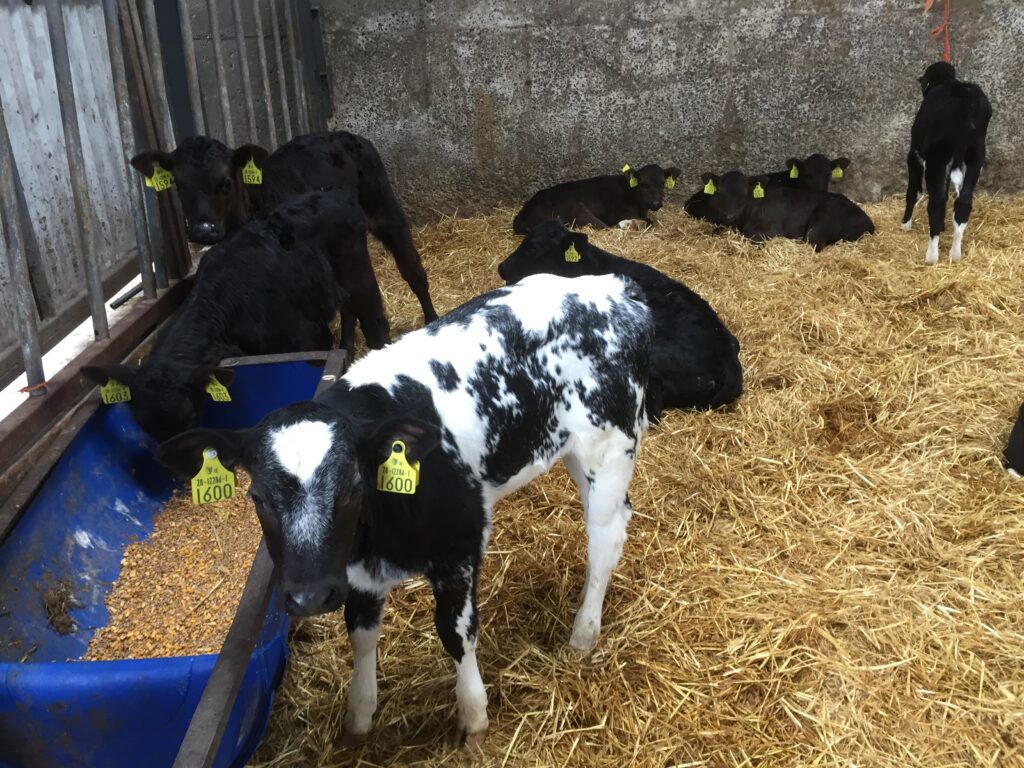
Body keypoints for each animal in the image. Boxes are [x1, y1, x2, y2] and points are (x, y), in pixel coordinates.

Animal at [130, 131, 438, 323]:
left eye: (226, 183)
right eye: (180, 187)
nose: (203, 229)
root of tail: (340, 134)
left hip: (383, 205)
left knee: (412, 268)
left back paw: (431, 318)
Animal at [155, 273, 654, 749]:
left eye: (353, 485)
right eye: (257, 498)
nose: (309, 597)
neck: (377, 537)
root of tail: (612, 289)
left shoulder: (460, 547)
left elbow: (456, 632)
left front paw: (473, 718)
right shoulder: (353, 572)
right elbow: (359, 634)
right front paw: (358, 719)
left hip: (609, 447)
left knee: (604, 538)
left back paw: (583, 633)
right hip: (575, 453)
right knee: (620, 522)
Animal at [512, 163, 682, 235]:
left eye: (662, 184)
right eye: (644, 184)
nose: (656, 203)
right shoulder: (618, 213)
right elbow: (649, 221)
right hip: (578, 210)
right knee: (606, 227)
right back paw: (626, 224)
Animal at [685, 170, 874, 251]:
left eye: (744, 194)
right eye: (720, 193)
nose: (730, 216)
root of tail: (869, 223)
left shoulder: (766, 231)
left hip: (822, 222)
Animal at [901, 62, 992, 265]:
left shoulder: (915, 155)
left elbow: (914, 191)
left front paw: (905, 224)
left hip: (937, 159)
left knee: (937, 205)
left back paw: (931, 256)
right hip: (975, 156)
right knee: (963, 203)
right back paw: (955, 254)